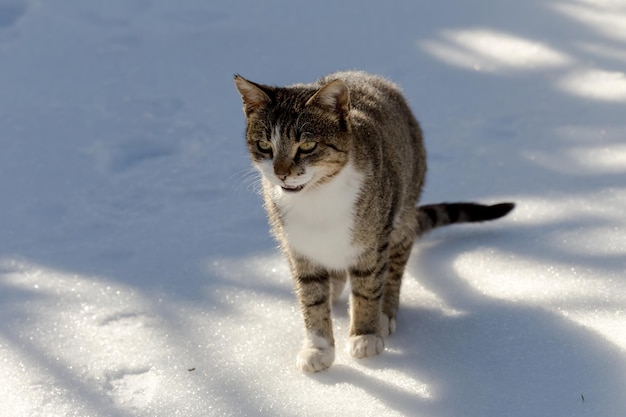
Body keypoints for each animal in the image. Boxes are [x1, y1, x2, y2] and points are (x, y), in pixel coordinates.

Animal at [234, 70, 512, 370]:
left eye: (307, 146)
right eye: (264, 145)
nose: (281, 173)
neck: (317, 197)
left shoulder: (373, 241)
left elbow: (367, 288)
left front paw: (364, 334)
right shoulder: (297, 248)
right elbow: (311, 298)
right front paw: (318, 347)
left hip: (403, 208)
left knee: (395, 265)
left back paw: (384, 313)